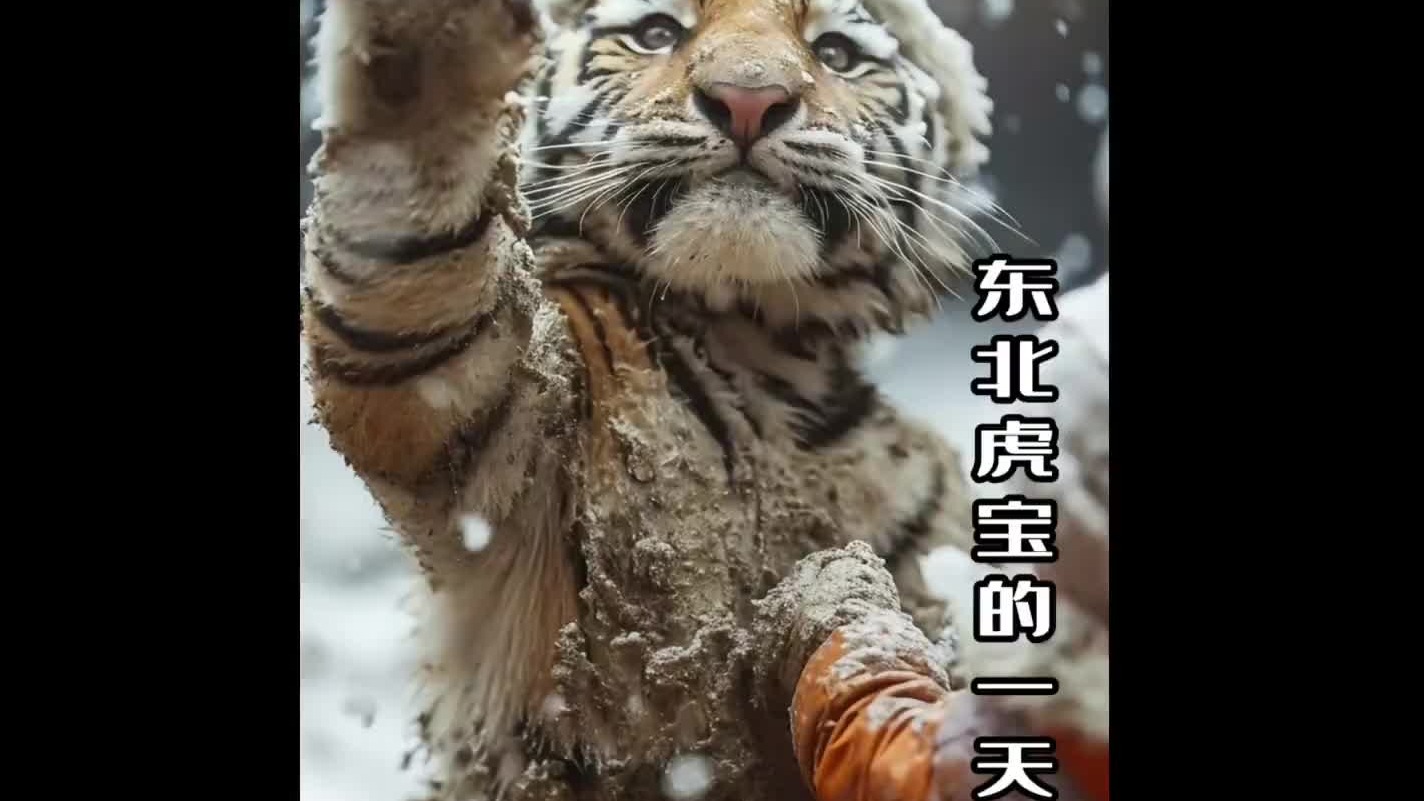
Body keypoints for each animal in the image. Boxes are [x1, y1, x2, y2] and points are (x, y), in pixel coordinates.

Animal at [301, 0, 996, 798]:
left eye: (838, 53)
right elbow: (410, 247)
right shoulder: (482, 417)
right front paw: (432, 34)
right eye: (658, 33)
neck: (768, 368)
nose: (749, 99)